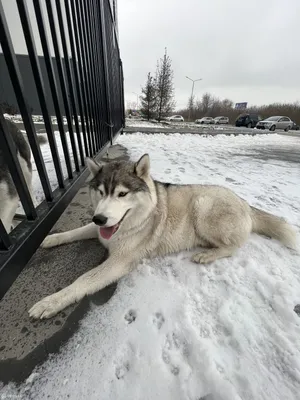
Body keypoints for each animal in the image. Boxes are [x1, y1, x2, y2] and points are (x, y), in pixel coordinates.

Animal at [28, 154, 298, 318]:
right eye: (101, 192)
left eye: (122, 194)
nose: (100, 219)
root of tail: (245, 202)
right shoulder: (101, 228)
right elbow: (77, 231)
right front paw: (52, 238)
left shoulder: (119, 262)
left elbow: (83, 280)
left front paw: (50, 302)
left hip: (202, 206)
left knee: (233, 247)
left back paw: (207, 255)